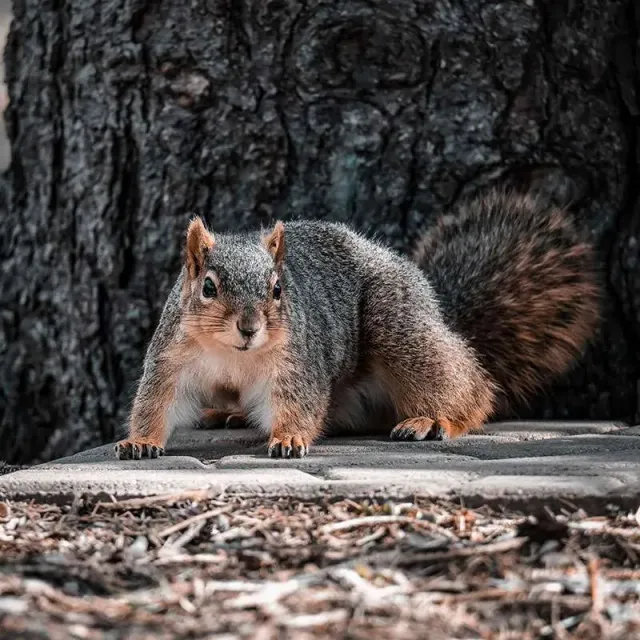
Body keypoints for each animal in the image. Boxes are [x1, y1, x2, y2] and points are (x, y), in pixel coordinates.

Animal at [114, 188, 601, 460]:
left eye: (278, 289)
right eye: (209, 287)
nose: (250, 327)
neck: (232, 353)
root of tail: (437, 308)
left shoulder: (297, 364)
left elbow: (299, 404)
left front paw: (289, 438)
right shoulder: (171, 359)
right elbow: (157, 403)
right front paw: (140, 441)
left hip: (398, 326)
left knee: (472, 388)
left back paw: (432, 419)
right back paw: (227, 414)